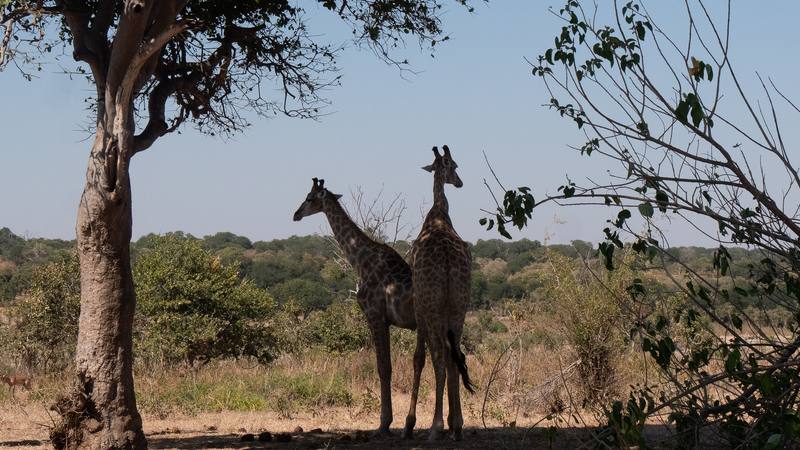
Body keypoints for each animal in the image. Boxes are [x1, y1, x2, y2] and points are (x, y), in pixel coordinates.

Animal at [293, 177, 420, 435]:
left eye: (309, 198)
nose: (296, 214)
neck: (361, 261)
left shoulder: (374, 315)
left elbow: (384, 368)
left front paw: (384, 423)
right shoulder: (383, 320)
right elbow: (386, 366)